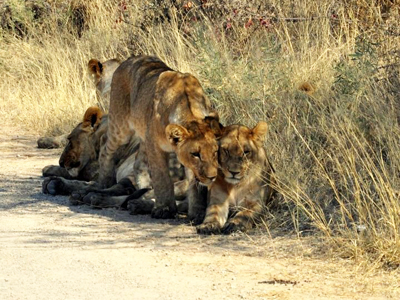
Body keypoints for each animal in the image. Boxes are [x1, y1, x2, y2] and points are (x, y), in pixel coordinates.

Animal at [98, 55, 220, 218]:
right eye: (195, 154)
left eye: (215, 152)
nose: (212, 177)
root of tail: (130, 59)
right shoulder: (155, 146)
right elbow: (162, 177)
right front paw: (164, 209)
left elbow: (194, 184)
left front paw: (197, 212)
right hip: (121, 127)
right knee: (106, 146)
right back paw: (104, 182)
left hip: (144, 134)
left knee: (139, 164)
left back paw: (141, 191)